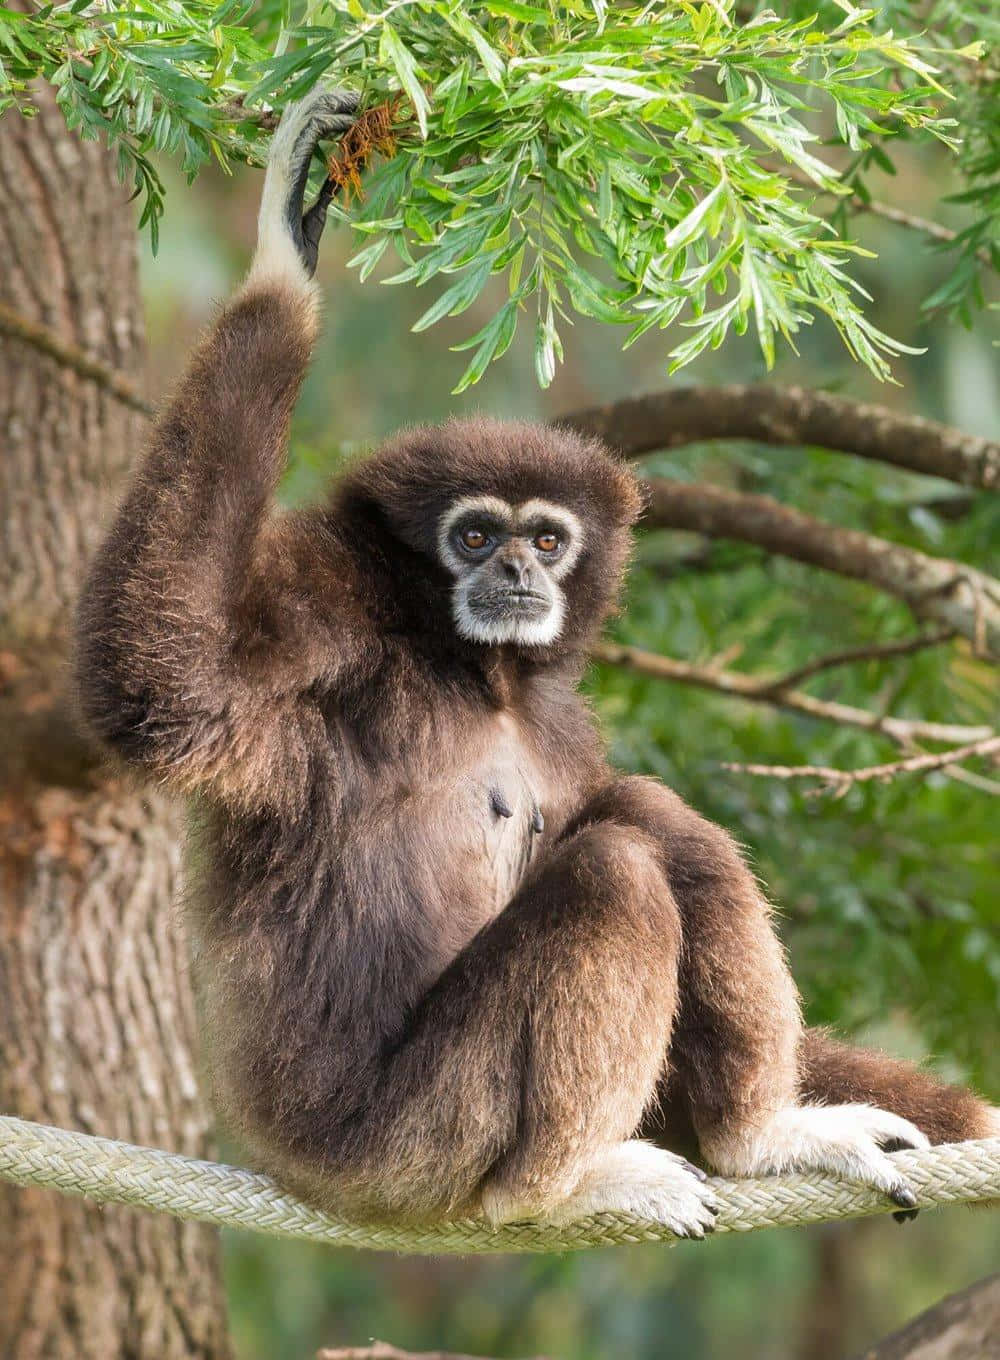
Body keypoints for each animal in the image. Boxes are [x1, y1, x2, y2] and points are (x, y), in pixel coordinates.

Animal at [75, 88, 999, 1237]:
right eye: (474, 535)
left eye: (548, 539)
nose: (514, 565)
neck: (471, 672)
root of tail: (296, 1160)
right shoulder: (324, 611)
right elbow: (162, 684)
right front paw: (284, 256)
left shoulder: (559, 714)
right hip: (408, 1142)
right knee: (613, 874)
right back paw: (559, 1185)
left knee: (644, 817)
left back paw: (759, 1138)